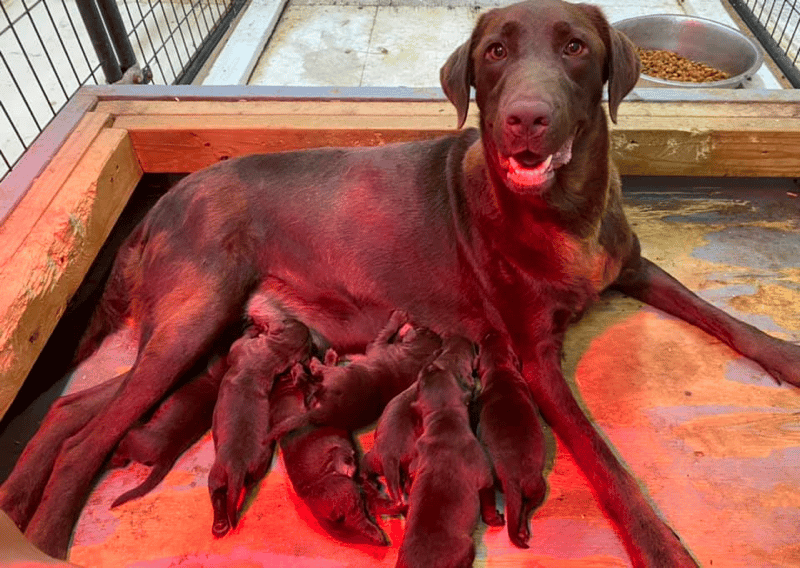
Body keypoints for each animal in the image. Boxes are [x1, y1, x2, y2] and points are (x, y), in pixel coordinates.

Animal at [398, 338, 504, 568]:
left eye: (420, 381)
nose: (430, 364)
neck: (443, 417)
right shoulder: (485, 480)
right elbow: (489, 505)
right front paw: (495, 519)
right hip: (468, 547)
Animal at [478, 330, 548, 548]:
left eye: (486, 340)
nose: (490, 330)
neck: (499, 370)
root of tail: (512, 479)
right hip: (538, 486)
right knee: (526, 509)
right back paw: (523, 531)